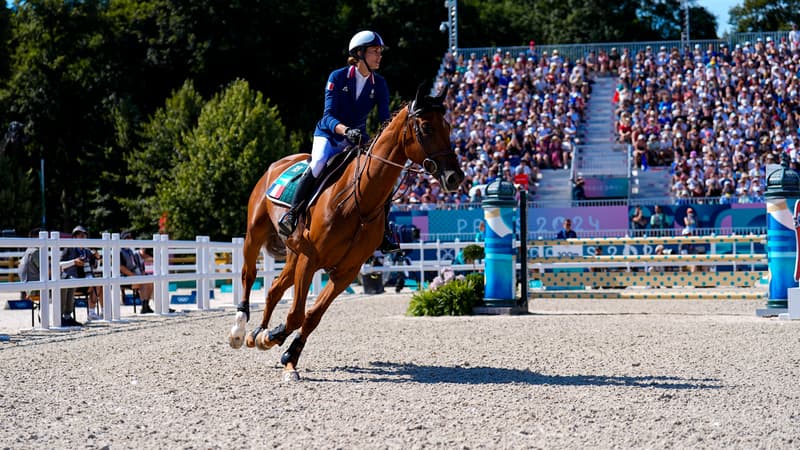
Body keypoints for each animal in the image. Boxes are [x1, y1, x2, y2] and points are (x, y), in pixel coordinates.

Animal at [227, 83, 462, 380]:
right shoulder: (311, 259)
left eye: (448, 126)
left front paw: (287, 353)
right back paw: (240, 331)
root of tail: (279, 164)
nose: (455, 177)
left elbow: (312, 316)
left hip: (293, 253)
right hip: (255, 234)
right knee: (248, 274)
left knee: (274, 289)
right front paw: (274, 338)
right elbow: (296, 314)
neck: (358, 203)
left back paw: (257, 333)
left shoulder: (346, 272)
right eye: (426, 128)